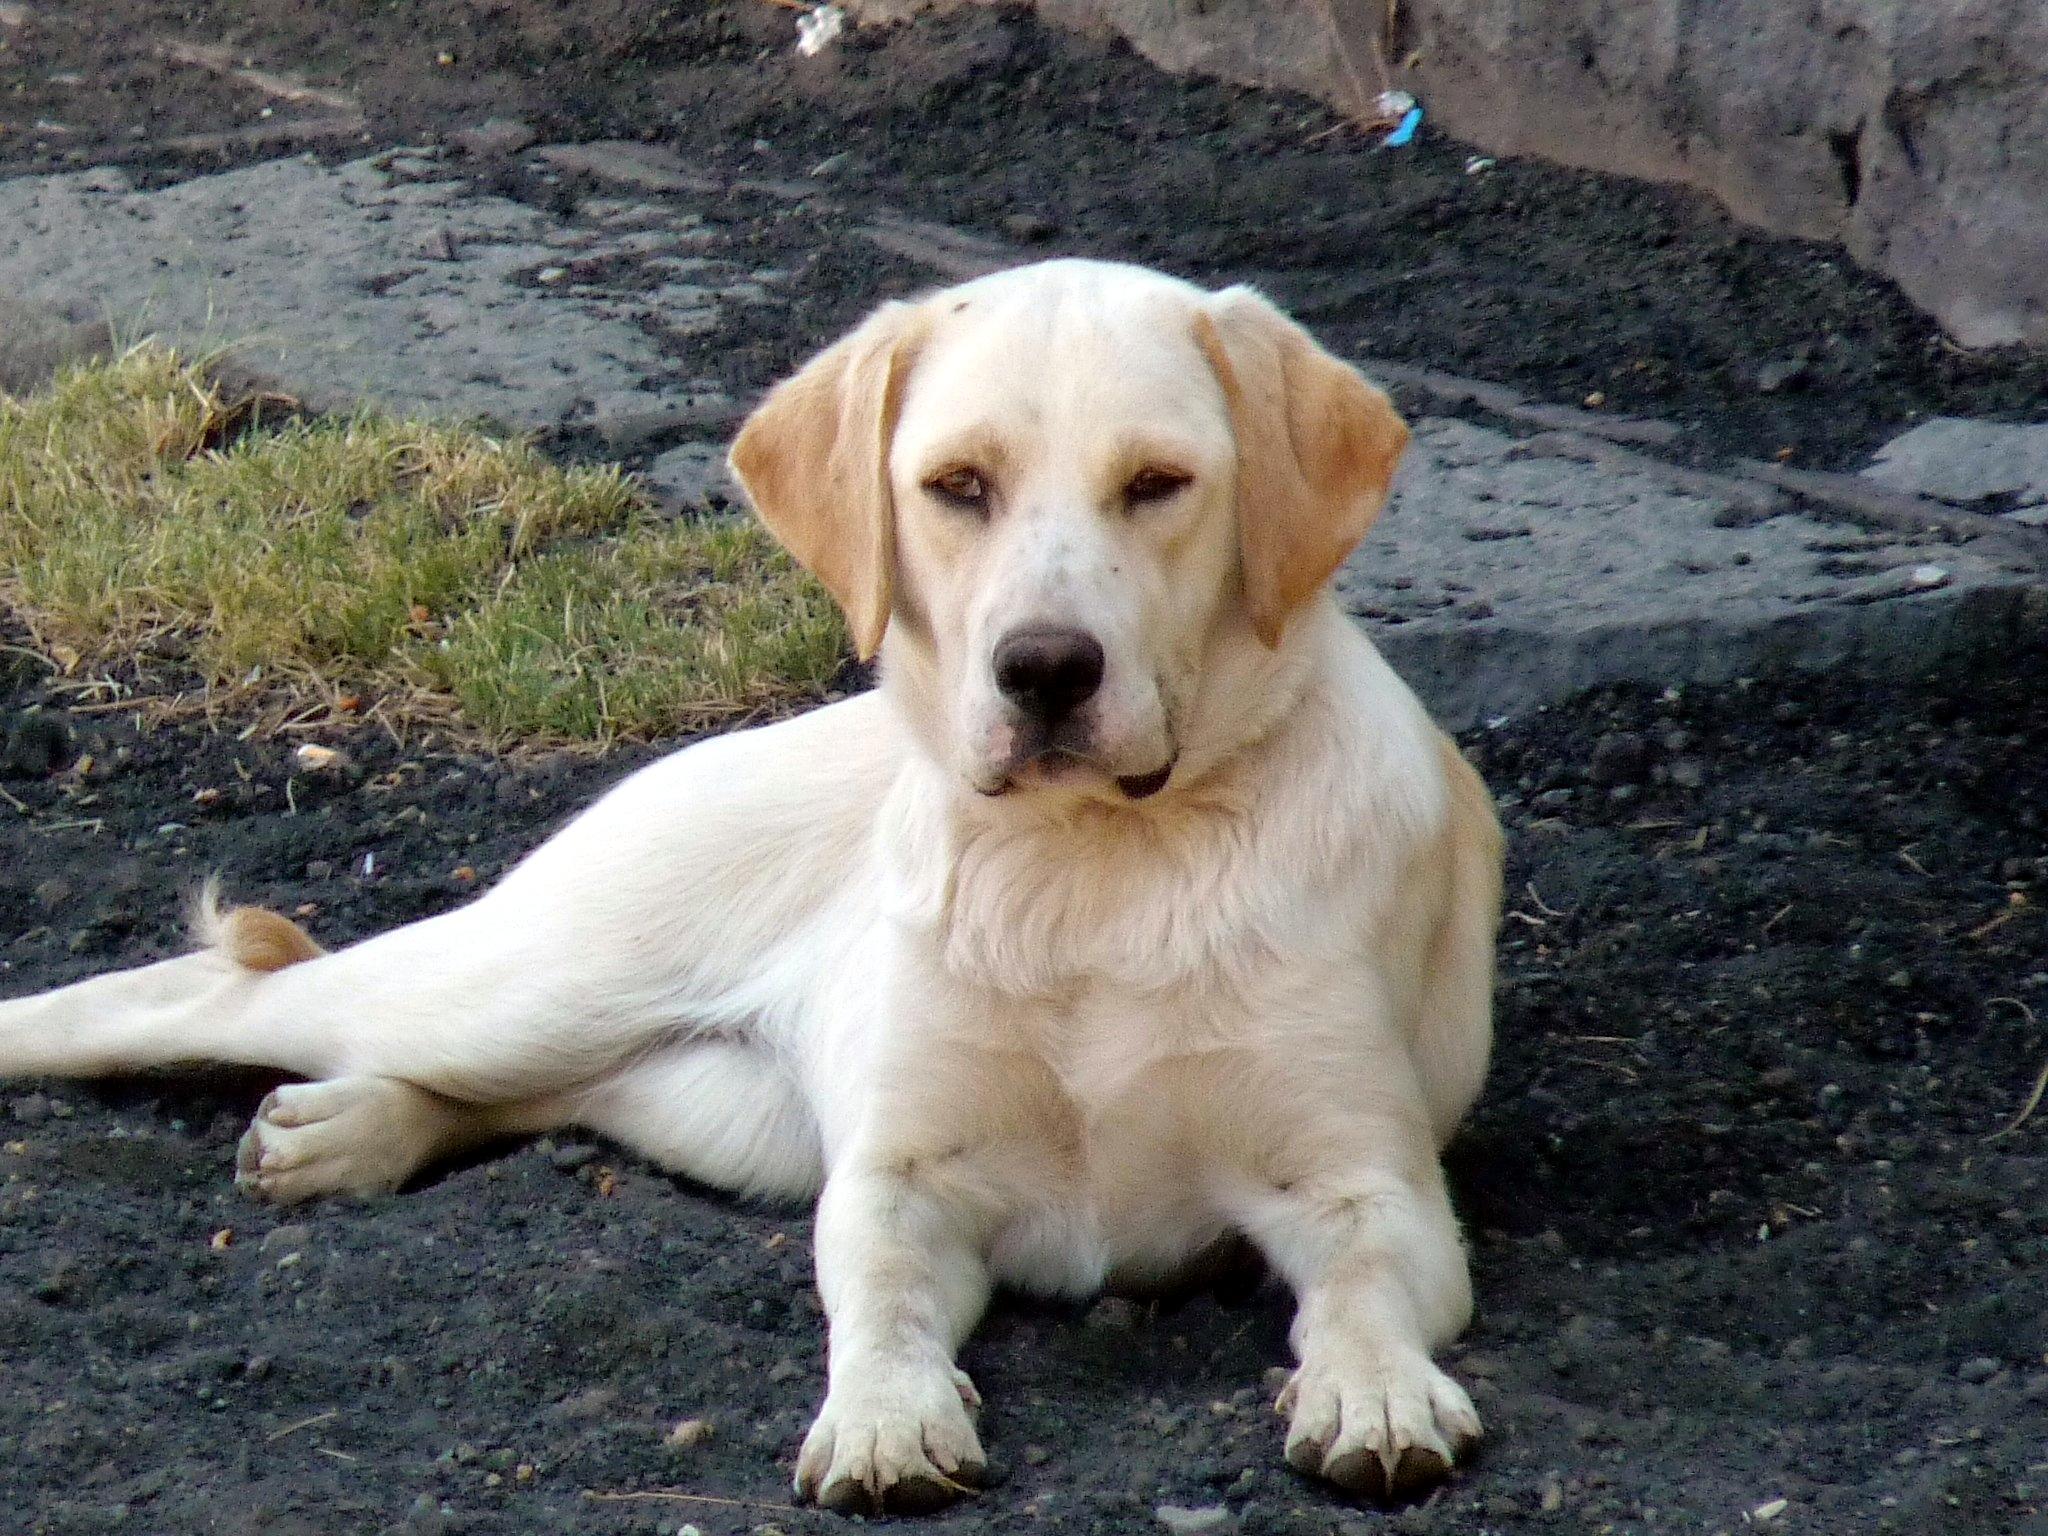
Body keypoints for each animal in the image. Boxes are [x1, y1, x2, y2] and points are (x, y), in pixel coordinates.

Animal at [0, 262, 1507, 1515]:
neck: (1091, 866)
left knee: (515, 1088)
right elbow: (880, 1304)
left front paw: (1372, 1392)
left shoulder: (1368, 1185)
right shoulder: (897, 1176)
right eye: (957, 486)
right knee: (225, 989)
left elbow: (1360, 1288)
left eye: (1157, 483)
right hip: (540, 980)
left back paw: (349, 1128)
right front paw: (887, 1419)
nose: (1044, 670)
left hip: (713, 1104)